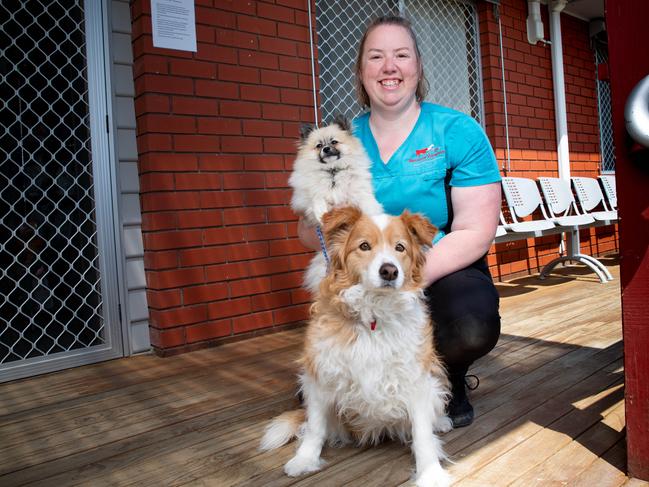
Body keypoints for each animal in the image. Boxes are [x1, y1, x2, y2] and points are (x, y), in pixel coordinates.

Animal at [258, 207, 450, 487]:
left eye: (400, 247)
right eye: (364, 246)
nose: (389, 271)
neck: (374, 316)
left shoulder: (416, 379)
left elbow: (422, 433)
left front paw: (431, 473)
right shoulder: (320, 376)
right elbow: (315, 427)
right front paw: (305, 460)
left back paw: (442, 421)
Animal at [290, 115, 384, 294]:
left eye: (334, 142)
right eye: (319, 146)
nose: (326, 149)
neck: (332, 171)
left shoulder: (359, 192)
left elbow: (366, 204)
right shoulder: (304, 197)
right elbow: (317, 198)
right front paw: (321, 212)